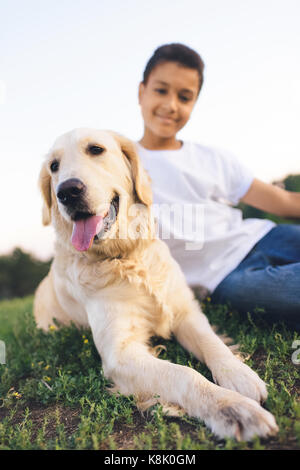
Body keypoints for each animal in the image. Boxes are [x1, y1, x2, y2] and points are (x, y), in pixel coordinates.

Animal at [34, 129, 278, 440]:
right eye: (54, 166)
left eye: (96, 149)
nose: (67, 191)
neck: (127, 256)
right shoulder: (120, 353)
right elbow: (184, 373)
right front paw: (234, 409)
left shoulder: (186, 312)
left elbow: (212, 342)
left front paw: (238, 374)